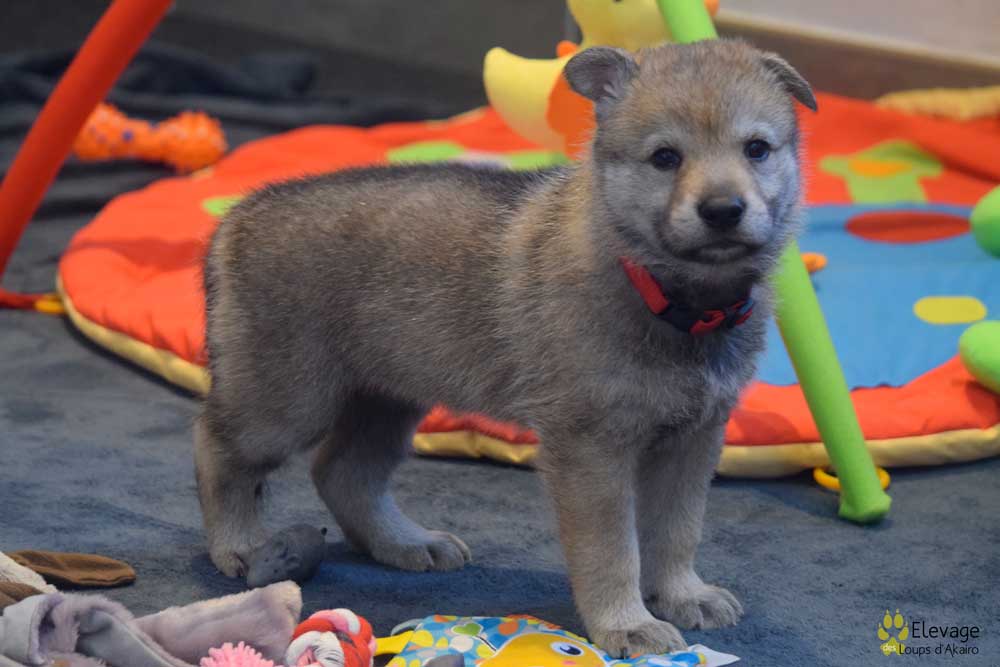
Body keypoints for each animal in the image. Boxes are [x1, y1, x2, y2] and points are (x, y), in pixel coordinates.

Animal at [195, 39, 815, 657]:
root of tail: (238, 217)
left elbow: (679, 529)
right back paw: (240, 545)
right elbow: (613, 549)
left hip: (386, 397)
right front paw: (626, 622)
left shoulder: (695, 436)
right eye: (665, 157)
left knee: (343, 473)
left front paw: (684, 594)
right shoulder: (592, 448)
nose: (723, 210)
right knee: (217, 446)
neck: (669, 297)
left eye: (757, 149)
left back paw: (405, 542)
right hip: (286, 402)